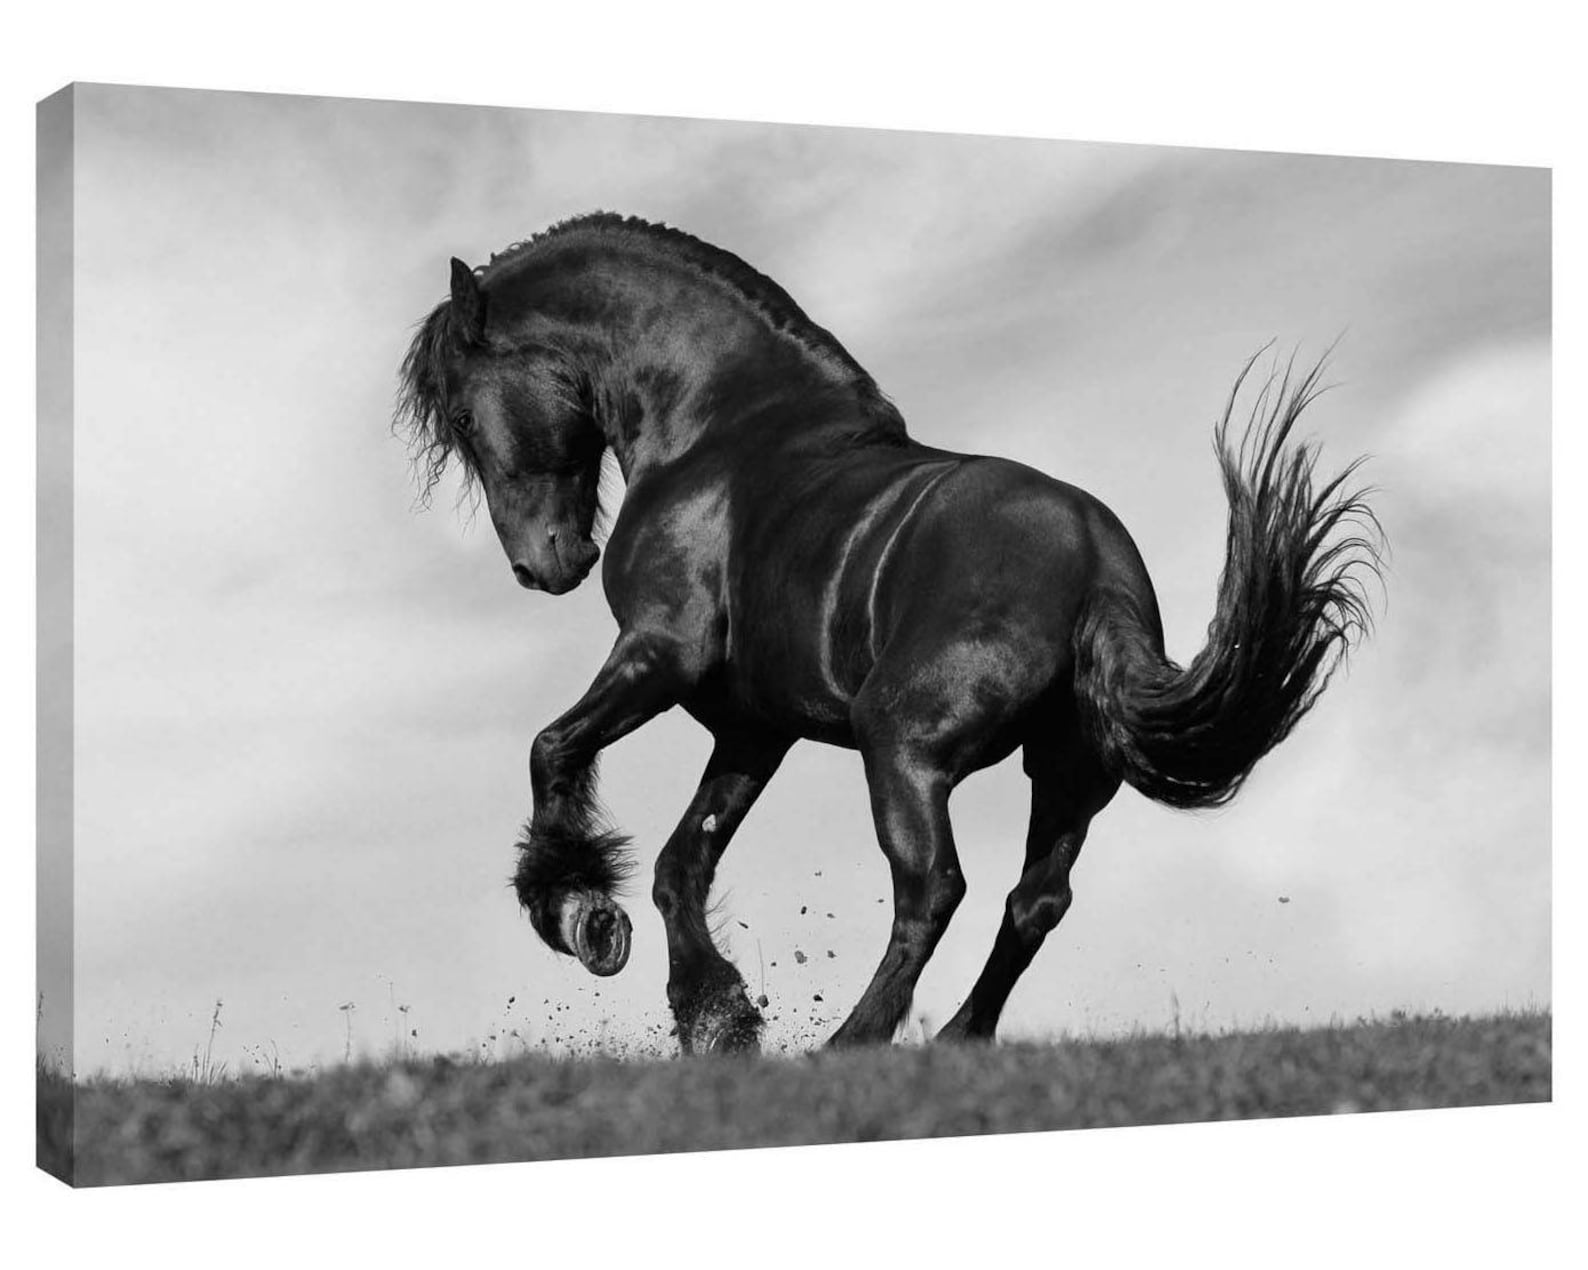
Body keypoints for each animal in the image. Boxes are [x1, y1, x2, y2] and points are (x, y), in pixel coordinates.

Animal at [396, 212, 1381, 1054]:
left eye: (463, 414)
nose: (544, 564)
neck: (718, 431)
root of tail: (1097, 562)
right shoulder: (754, 729)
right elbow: (684, 861)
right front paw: (715, 1016)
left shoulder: (659, 656)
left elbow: (553, 749)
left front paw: (580, 916)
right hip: (1066, 773)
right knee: (1035, 900)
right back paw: (957, 1039)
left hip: (900, 744)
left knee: (934, 886)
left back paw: (854, 1041)